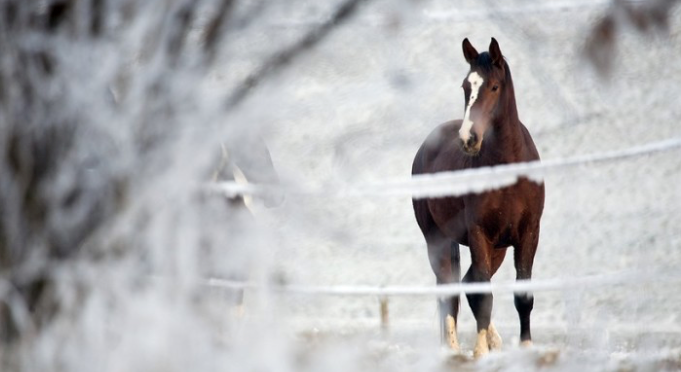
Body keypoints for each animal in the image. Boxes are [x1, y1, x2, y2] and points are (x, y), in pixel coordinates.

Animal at [412, 37, 544, 358]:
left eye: (494, 86)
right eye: (465, 87)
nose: (469, 138)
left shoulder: (528, 234)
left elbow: (522, 294)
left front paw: (525, 347)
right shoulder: (479, 234)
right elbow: (483, 294)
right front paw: (480, 352)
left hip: (496, 248)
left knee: (467, 282)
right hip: (437, 240)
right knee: (449, 288)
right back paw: (453, 349)